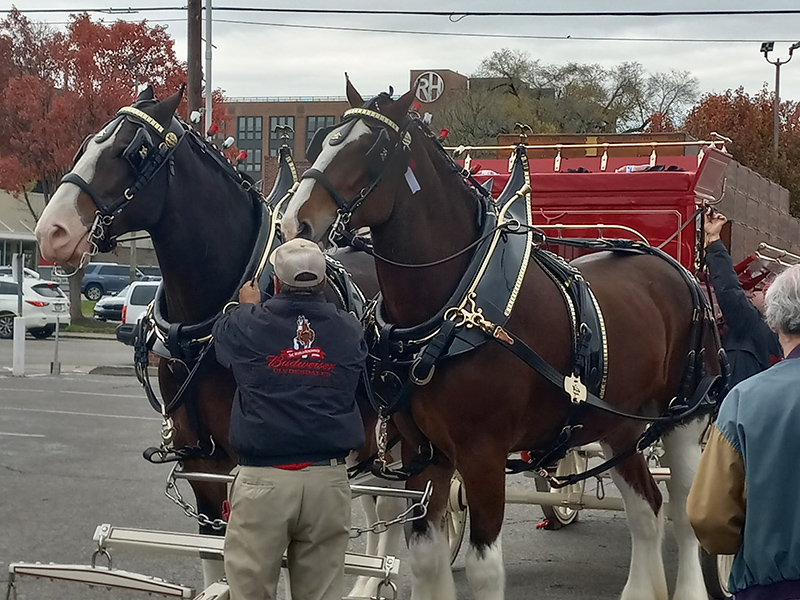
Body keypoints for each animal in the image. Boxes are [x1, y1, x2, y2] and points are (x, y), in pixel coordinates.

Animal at [34, 85, 404, 596]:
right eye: (86, 143)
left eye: (134, 150)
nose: (53, 231)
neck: (208, 326)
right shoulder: (204, 466)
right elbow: (214, 554)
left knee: (393, 505)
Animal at [282, 81, 724, 600]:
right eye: (323, 141)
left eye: (374, 149)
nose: (294, 222)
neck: (454, 306)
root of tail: (677, 269)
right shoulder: (424, 453)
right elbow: (427, 558)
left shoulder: (483, 454)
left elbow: (485, 569)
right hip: (620, 424)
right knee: (647, 509)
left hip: (685, 420)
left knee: (685, 516)